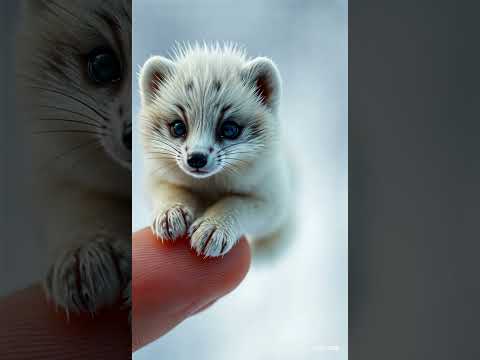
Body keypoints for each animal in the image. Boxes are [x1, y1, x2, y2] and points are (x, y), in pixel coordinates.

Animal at [137, 43, 290, 256]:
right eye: (178, 127)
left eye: (230, 129)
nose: (196, 158)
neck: (210, 187)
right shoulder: (156, 178)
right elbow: (170, 190)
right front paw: (170, 213)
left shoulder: (273, 202)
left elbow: (235, 202)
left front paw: (213, 228)